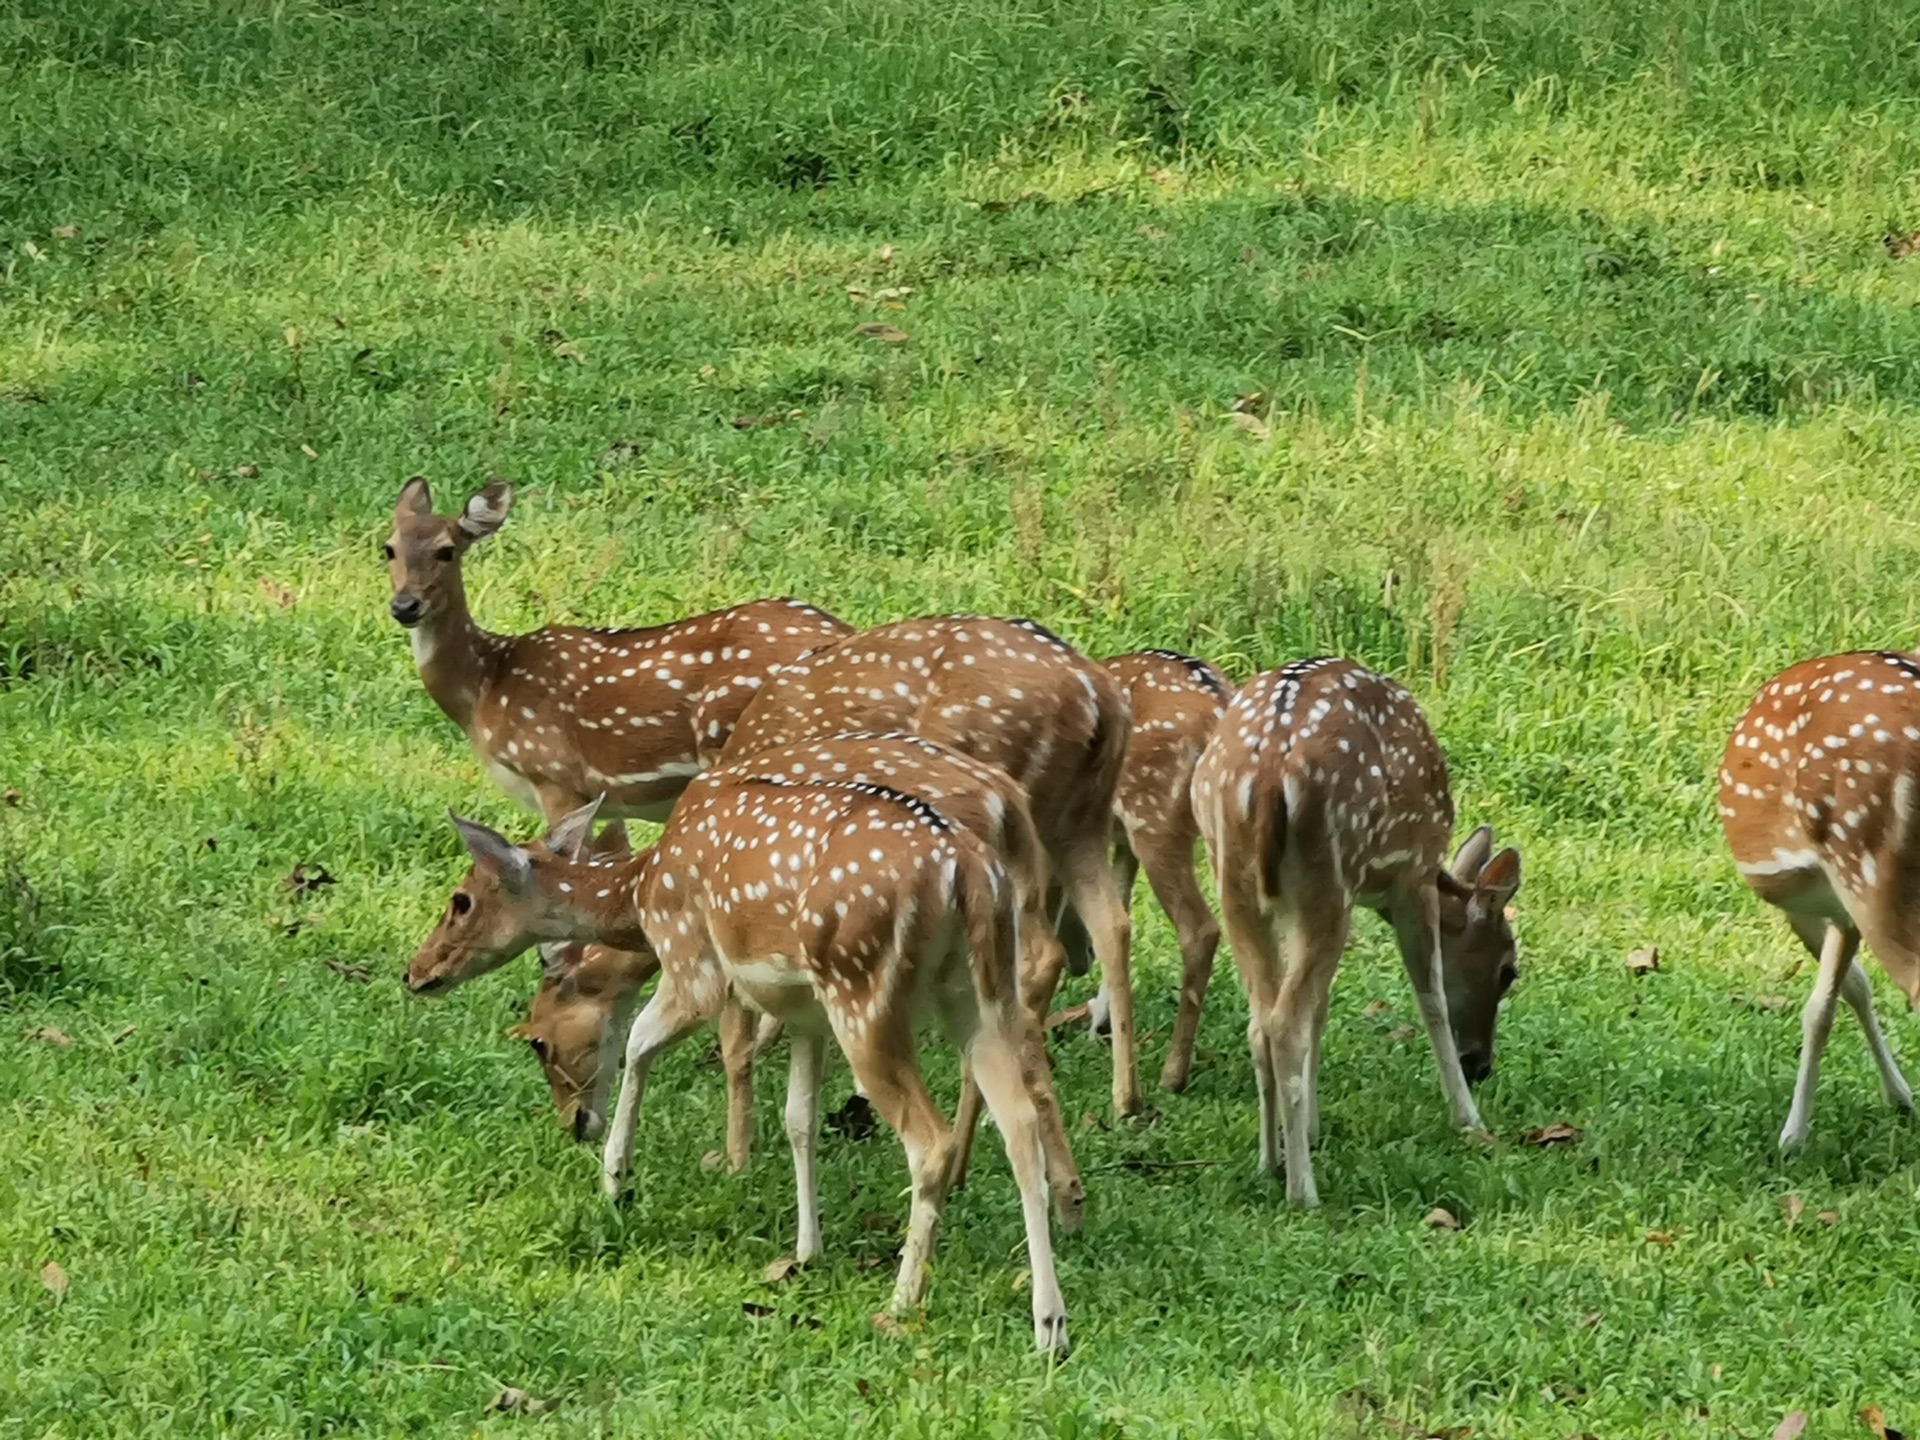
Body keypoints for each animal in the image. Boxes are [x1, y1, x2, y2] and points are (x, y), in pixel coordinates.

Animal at [403, 783, 1075, 1359]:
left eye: (461, 900)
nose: (417, 972)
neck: (641, 891)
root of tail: (969, 874)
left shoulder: (694, 962)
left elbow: (639, 1043)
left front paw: (615, 1180)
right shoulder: (805, 1015)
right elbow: (799, 1118)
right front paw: (806, 1249)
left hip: (861, 988)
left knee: (929, 1141)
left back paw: (904, 1299)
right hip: (980, 993)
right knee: (1019, 1124)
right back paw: (1050, 1324)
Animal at [503, 733, 1090, 1228]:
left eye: (539, 1042)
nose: (574, 1124)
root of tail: (1006, 801)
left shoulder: (717, 958)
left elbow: (724, 1041)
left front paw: (728, 1160)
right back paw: (1054, 1196)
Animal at [1190, 660, 1520, 1213]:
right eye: (1508, 971)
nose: (1482, 1065)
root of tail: (1266, 776)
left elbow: (1322, 1007)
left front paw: (1310, 1130)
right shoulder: (1413, 876)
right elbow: (1431, 998)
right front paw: (1468, 1118)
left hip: (1235, 882)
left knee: (1262, 1021)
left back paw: (1269, 1162)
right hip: (1330, 879)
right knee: (1285, 1023)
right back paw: (1303, 1192)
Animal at [1720, 652, 1920, 1152]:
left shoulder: (1809, 901)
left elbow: (1821, 1007)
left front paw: (1792, 1139)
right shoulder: (1836, 912)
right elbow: (1854, 988)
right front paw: (1901, 1097)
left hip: (1864, 864)